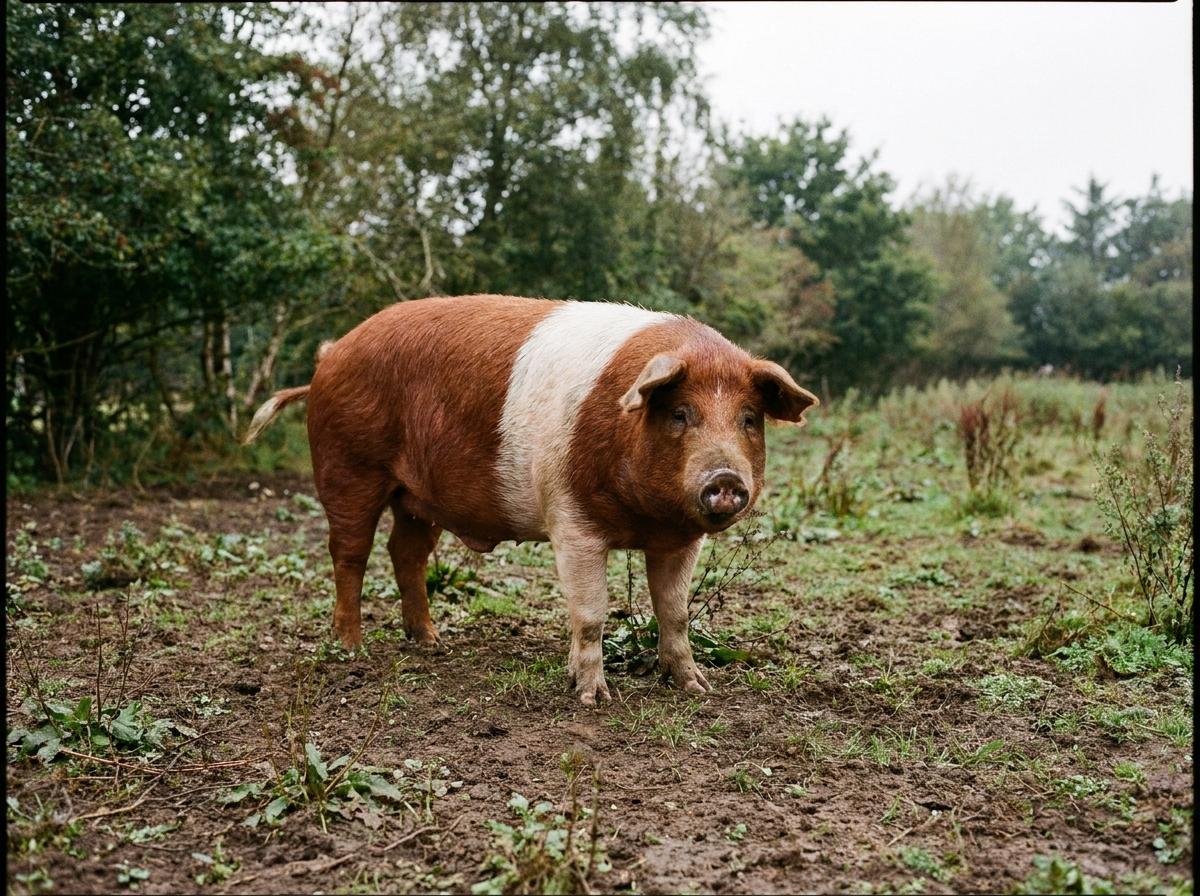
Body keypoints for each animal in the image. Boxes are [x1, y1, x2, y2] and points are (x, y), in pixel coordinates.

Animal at [244, 294, 818, 704]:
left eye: (749, 419)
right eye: (680, 414)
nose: (725, 478)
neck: (645, 519)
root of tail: (329, 357)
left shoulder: (680, 540)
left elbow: (675, 613)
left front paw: (697, 688)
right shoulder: (572, 520)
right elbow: (591, 612)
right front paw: (592, 699)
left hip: (416, 497)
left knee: (405, 554)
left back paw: (431, 642)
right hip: (348, 468)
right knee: (349, 554)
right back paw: (351, 648)